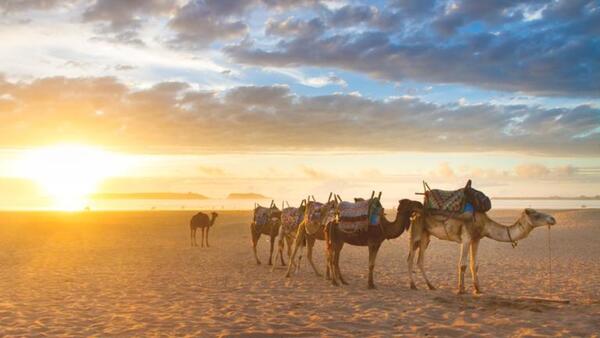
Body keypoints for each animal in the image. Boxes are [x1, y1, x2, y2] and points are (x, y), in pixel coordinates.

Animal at [408, 205, 556, 294]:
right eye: (536, 215)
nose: (552, 218)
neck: (484, 224)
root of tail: (415, 213)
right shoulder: (466, 237)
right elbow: (462, 264)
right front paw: (461, 290)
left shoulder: (476, 239)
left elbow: (475, 265)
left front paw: (478, 289)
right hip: (417, 230)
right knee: (410, 257)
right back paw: (413, 285)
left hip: (426, 235)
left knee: (420, 259)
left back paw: (430, 286)